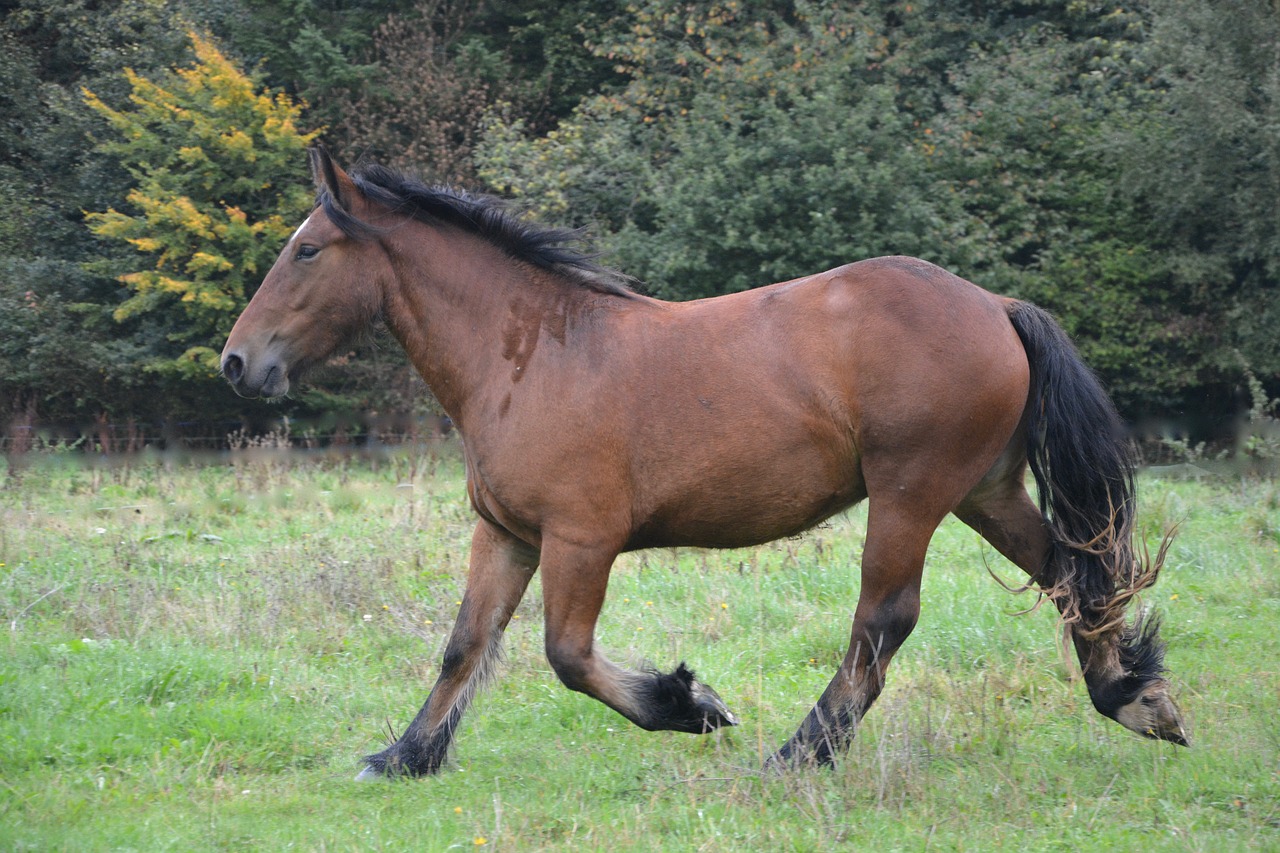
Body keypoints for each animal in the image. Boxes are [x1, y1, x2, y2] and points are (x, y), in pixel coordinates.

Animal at [220, 147, 1187, 778]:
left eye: (307, 249)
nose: (236, 363)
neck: (533, 353)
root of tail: (994, 303)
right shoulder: (508, 534)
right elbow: (464, 645)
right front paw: (406, 755)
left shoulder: (581, 540)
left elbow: (567, 655)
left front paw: (691, 704)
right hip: (983, 490)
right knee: (1071, 570)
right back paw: (1133, 696)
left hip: (910, 495)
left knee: (884, 621)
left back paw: (798, 753)